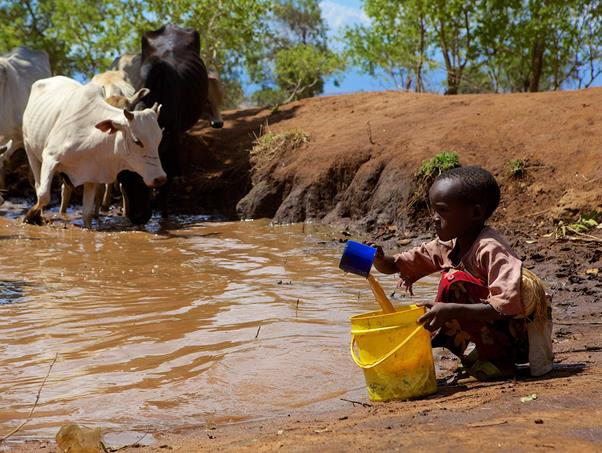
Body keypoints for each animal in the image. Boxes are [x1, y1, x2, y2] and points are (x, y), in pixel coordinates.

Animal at [22, 76, 165, 230]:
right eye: (137, 141)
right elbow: (44, 196)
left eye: (159, 139)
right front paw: (30, 216)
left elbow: (87, 213)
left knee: (66, 189)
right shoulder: (50, 157)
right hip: (30, 149)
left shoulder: (91, 173)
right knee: (38, 186)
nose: (160, 178)